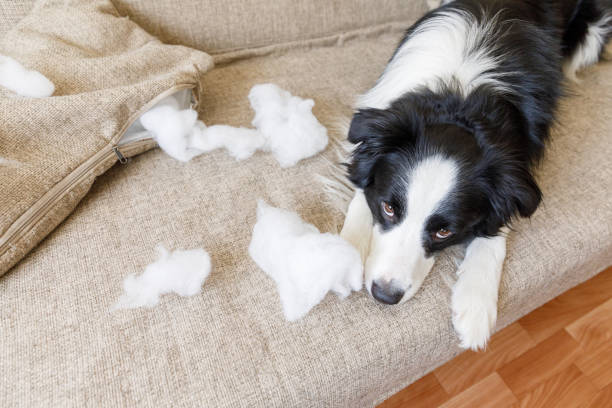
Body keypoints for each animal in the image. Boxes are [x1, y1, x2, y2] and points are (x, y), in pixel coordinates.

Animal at [340, 0, 612, 350]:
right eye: (388, 208)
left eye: (444, 232)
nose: (385, 295)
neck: (461, 101)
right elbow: (362, 193)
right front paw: (340, 258)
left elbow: (496, 227)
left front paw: (476, 304)